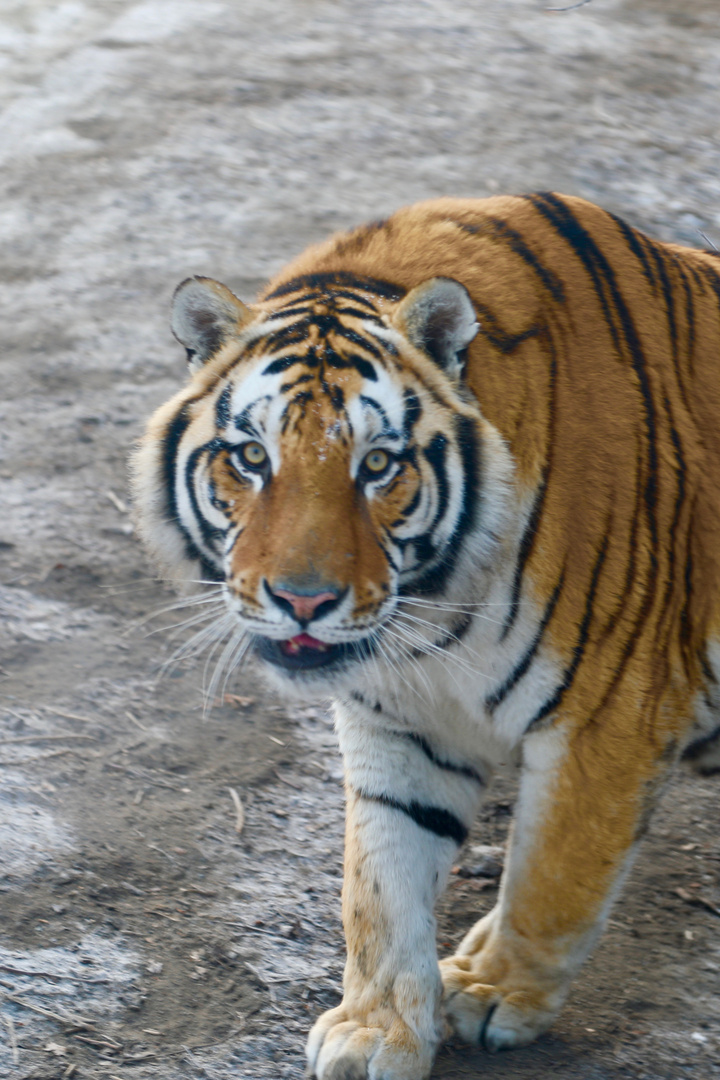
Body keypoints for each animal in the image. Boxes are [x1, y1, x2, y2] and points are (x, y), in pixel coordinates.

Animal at [131, 196, 720, 1080]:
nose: (303, 601)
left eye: (378, 465)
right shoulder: (400, 719)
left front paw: (492, 992)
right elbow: (379, 882)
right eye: (252, 456)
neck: (438, 615)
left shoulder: (611, 713)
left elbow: (554, 876)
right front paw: (378, 1030)